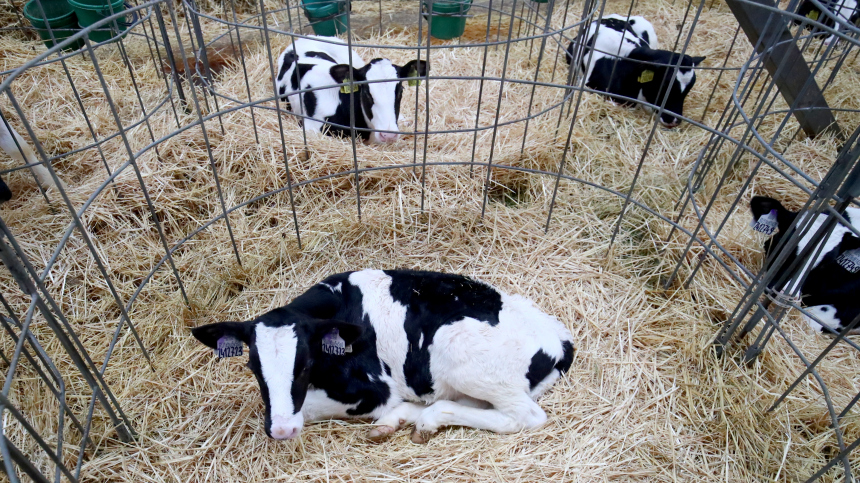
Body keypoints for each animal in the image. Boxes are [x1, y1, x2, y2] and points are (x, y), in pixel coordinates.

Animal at [191, 269, 575, 443]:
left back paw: (425, 419)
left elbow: (309, 407)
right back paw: (410, 420)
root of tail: (560, 338)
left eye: (306, 365)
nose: (282, 430)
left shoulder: (373, 389)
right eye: (253, 367)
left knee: (524, 416)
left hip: (464, 356)